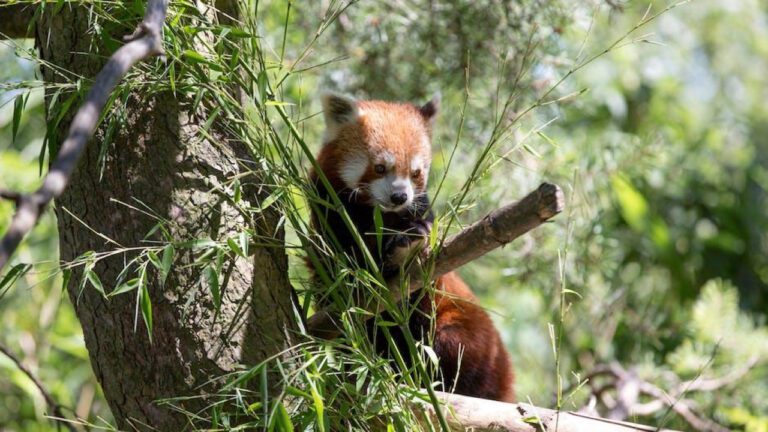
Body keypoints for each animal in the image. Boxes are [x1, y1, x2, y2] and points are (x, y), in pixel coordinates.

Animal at [308, 92, 515, 402]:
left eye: (416, 172)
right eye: (380, 167)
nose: (399, 196)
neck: (375, 214)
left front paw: (400, 247)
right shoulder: (328, 214)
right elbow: (336, 265)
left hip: (466, 331)